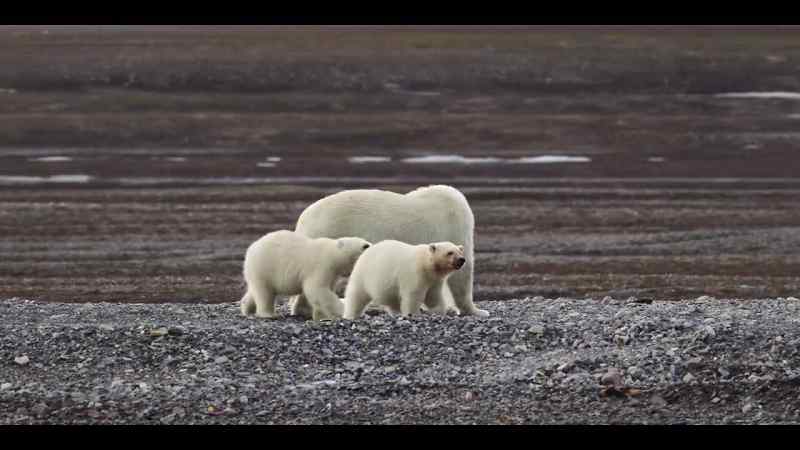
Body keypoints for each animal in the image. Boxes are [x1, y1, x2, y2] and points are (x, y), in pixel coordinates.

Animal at [239, 230, 371, 320]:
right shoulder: (321, 265)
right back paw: (269, 314)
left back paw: (247, 309)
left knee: (254, 290)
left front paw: (319, 316)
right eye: (364, 245)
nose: (369, 245)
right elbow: (316, 289)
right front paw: (341, 311)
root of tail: (251, 249)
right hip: (264, 266)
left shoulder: (333, 273)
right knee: (264, 293)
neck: (333, 253)